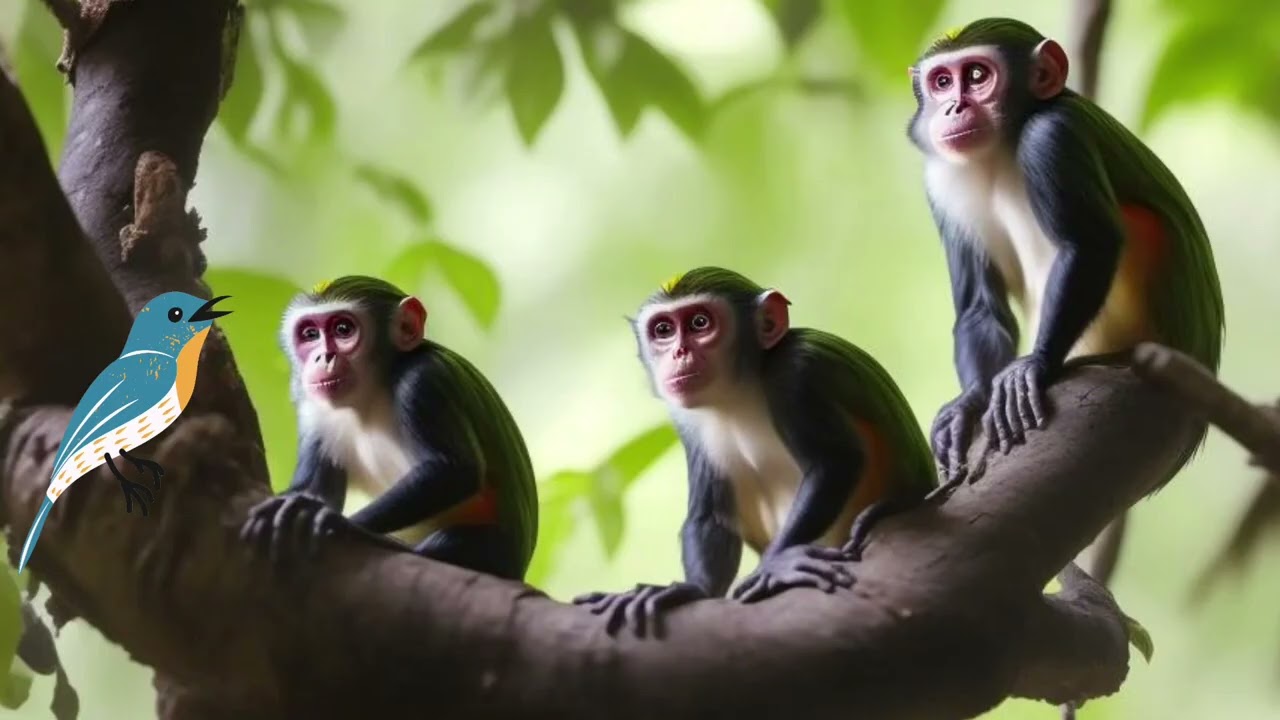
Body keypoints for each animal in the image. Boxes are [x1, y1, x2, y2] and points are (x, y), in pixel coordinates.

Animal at [239, 275, 538, 581]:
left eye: (343, 329)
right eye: (310, 334)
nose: (323, 357)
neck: (370, 396)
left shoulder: (422, 380)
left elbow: (455, 469)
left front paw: (338, 521)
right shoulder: (312, 408)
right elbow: (316, 488)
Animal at [573, 267, 937, 637]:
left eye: (700, 323)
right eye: (663, 330)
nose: (678, 353)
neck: (739, 390)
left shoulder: (795, 372)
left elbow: (835, 462)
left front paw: (775, 564)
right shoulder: (684, 417)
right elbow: (710, 514)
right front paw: (692, 589)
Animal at [907, 18, 1224, 497]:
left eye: (977, 76)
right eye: (941, 82)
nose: (953, 108)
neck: (1001, 150)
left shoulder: (1054, 135)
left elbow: (1089, 244)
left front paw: (1034, 365)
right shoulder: (940, 181)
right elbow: (980, 307)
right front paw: (968, 403)